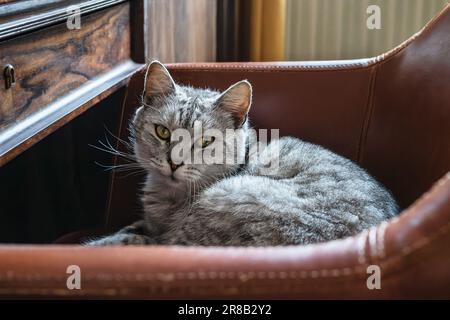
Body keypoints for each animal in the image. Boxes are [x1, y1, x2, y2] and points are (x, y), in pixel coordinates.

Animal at [86, 61, 400, 246]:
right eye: (163, 132)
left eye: (206, 141)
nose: (174, 163)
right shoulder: (150, 225)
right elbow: (129, 231)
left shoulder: (169, 237)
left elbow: (124, 241)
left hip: (227, 199)